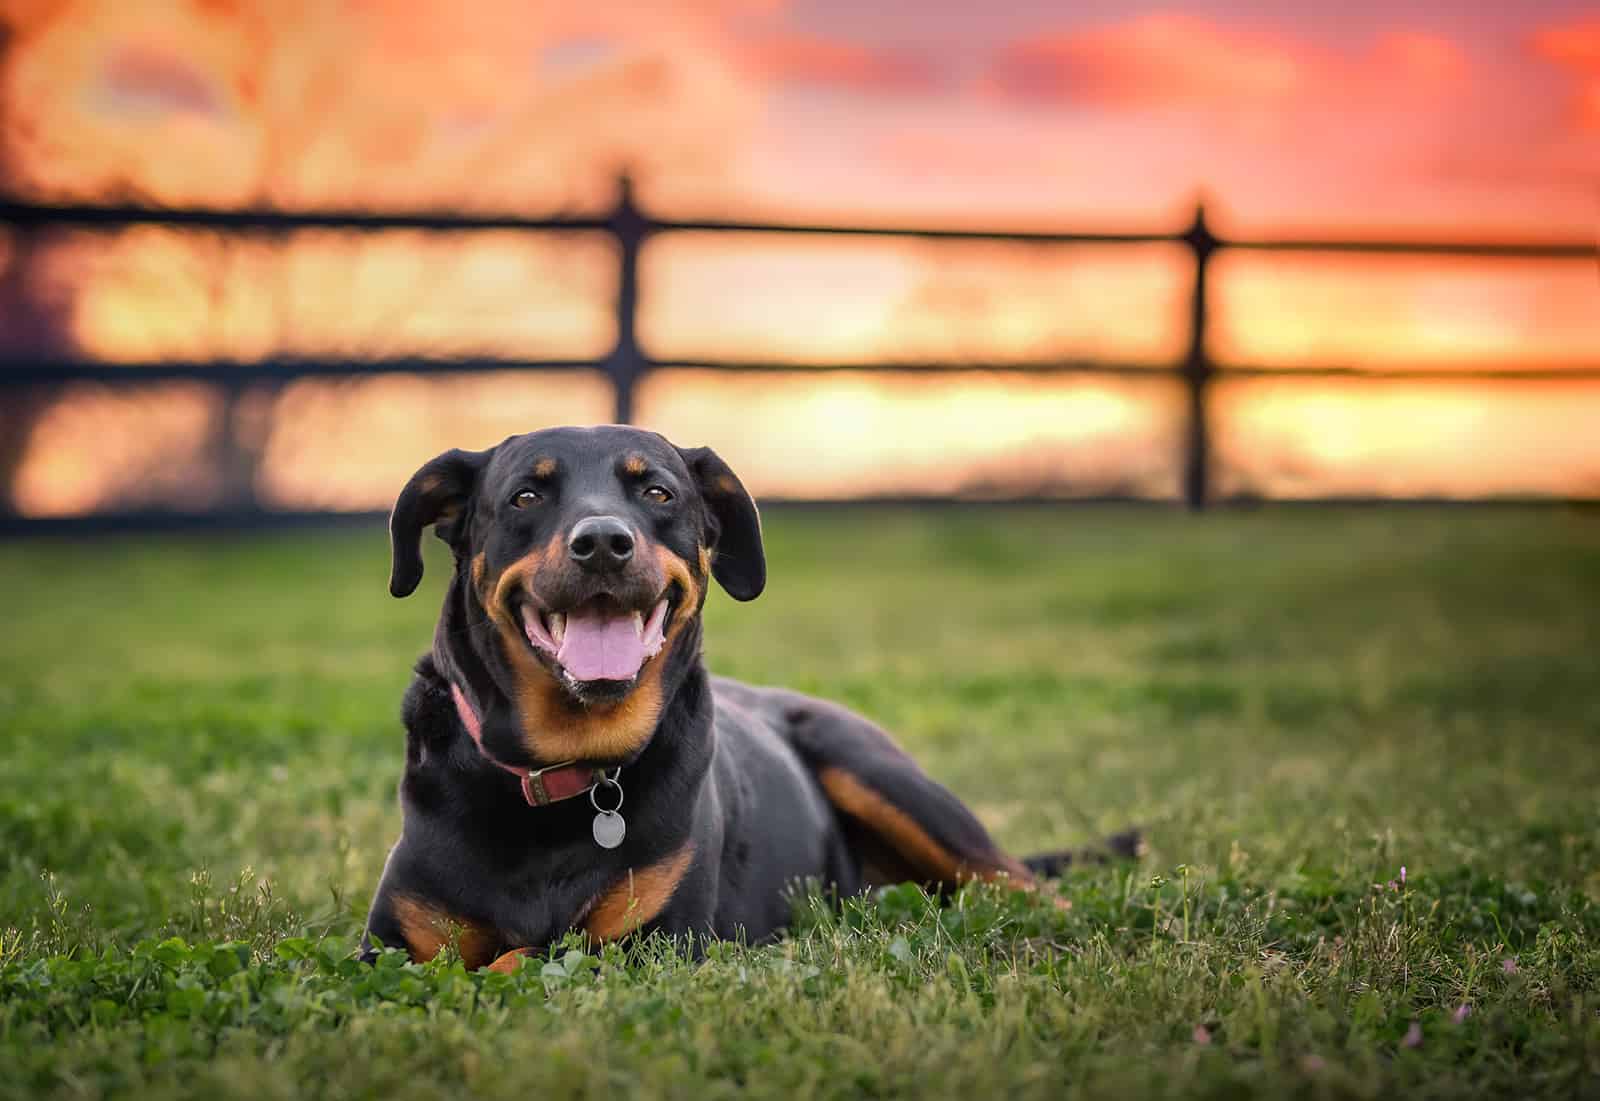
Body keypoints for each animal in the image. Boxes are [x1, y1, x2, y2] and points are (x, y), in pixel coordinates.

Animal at [363, 425, 1139, 966]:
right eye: (526, 495)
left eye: (657, 493)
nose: (604, 542)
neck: (564, 772)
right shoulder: (391, 944)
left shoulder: (659, 941)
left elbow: (525, 955)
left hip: (881, 774)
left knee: (1024, 884)